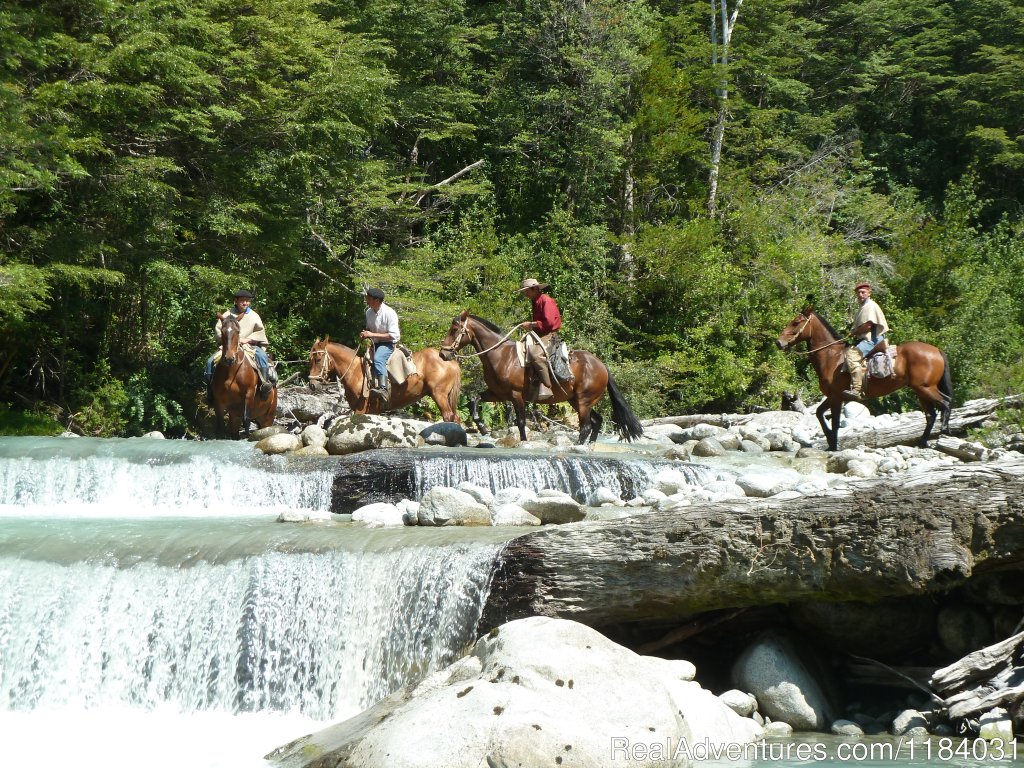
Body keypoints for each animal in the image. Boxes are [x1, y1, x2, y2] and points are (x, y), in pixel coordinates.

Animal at [305, 335, 462, 421]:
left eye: (318, 359)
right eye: (310, 359)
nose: (312, 384)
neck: (355, 372)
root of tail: (451, 361)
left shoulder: (361, 409)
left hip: (439, 395)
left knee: (449, 417)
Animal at [438, 311, 643, 444]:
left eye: (454, 330)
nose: (442, 354)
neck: (500, 355)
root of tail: (602, 365)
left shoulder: (516, 395)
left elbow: (520, 421)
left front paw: (522, 441)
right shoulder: (497, 393)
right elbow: (474, 399)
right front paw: (481, 426)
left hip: (584, 401)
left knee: (585, 426)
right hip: (576, 400)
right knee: (597, 421)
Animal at [778, 307, 954, 450]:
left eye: (796, 322)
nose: (779, 342)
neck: (832, 357)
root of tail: (937, 350)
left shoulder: (836, 398)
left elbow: (834, 422)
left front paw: (833, 445)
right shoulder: (833, 396)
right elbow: (820, 413)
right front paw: (829, 440)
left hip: (925, 388)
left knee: (945, 403)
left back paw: (944, 431)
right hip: (920, 391)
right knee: (931, 415)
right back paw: (923, 442)